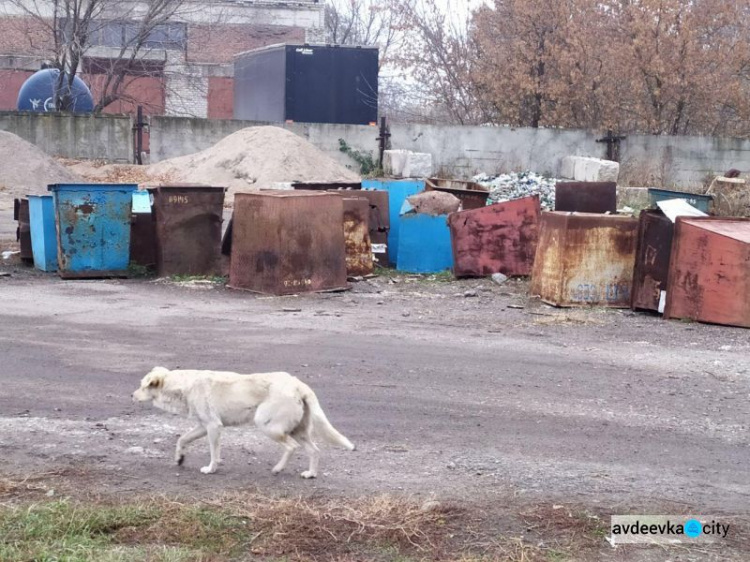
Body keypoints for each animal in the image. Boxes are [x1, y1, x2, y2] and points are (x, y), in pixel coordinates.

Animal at [134, 366, 356, 474]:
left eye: (143, 386)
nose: (132, 395)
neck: (184, 386)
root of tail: (298, 384)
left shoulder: (214, 427)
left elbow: (214, 453)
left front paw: (211, 469)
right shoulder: (203, 427)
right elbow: (181, 439)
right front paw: (180, 458)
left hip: (268, 426)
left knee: (291, 447)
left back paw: (278, 469)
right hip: (297, 431)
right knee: (314, 451)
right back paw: (310, 474)